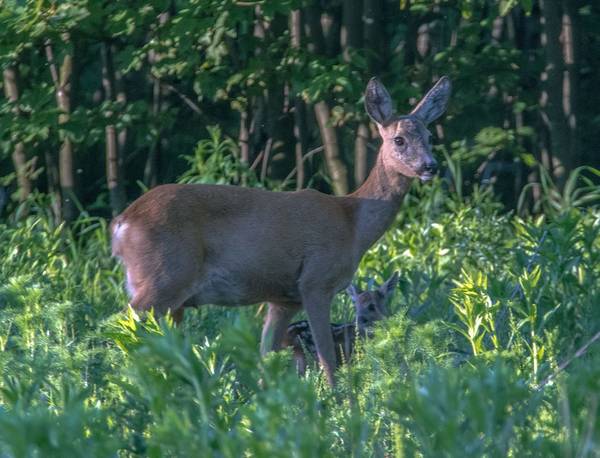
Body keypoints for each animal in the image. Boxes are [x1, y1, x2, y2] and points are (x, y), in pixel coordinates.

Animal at [111, 77, 450, 384]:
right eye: (399, 140)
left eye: (429, 135)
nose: (430, 166)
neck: (352, 222)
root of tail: (122, 223)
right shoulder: (316, 281)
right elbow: (328, 359)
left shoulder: (284, 298)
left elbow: (266, 359)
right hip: (163, 277)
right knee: (123, 327)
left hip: (172, 299)